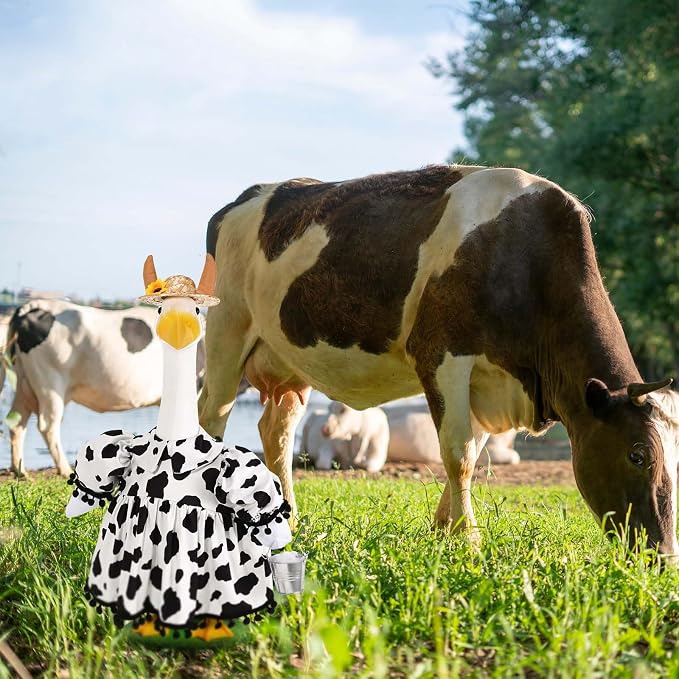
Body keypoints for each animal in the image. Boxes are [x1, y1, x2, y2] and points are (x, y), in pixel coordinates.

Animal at [2, 299, 206, 477]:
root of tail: (31, 306)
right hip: (50, 383)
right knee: (48, 426)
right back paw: (64, 469)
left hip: (24, 384)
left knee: (17, 422)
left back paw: (20, 470)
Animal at [198, 165, 678, 557]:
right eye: (638, 455)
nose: (663, 554)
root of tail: (248, 196)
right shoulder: (442, 355)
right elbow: (458, 452)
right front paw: (468, 539)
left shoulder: (488, 381)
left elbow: (475, 451)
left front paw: (444, 529)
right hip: (227, 329)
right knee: (212, 417)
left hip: (288, 360)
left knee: (276, 431)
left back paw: (290, 520)